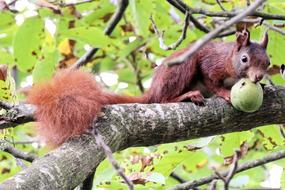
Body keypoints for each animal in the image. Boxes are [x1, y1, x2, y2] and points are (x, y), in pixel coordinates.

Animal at [27, 29, 270, 146]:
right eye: (245, 59)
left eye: (267, 62)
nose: (258, 77)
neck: (230, 62)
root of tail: (152, 90)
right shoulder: (211, 63)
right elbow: (211, 79)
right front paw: (224, 93)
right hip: (179, 71)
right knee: (162, 99)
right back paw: (186, 96)